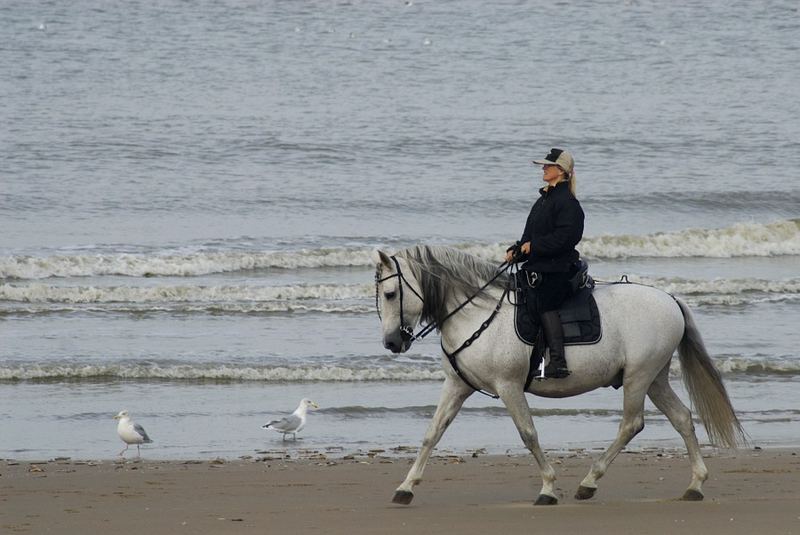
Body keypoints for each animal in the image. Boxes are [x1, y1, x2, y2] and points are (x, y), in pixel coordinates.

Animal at [374, 247, 744, 506]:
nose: (392, 342)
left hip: (639, 377)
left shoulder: (508, 387)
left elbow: (528, 434)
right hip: (654, 378)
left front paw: (549, 488)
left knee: (632, 424)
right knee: (681, 417)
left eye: (391, 294)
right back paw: (695, 484)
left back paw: (590, 481)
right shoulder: (457, 386)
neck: (475, 313)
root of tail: (669, 298)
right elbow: (432, 434)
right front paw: (405, 487)